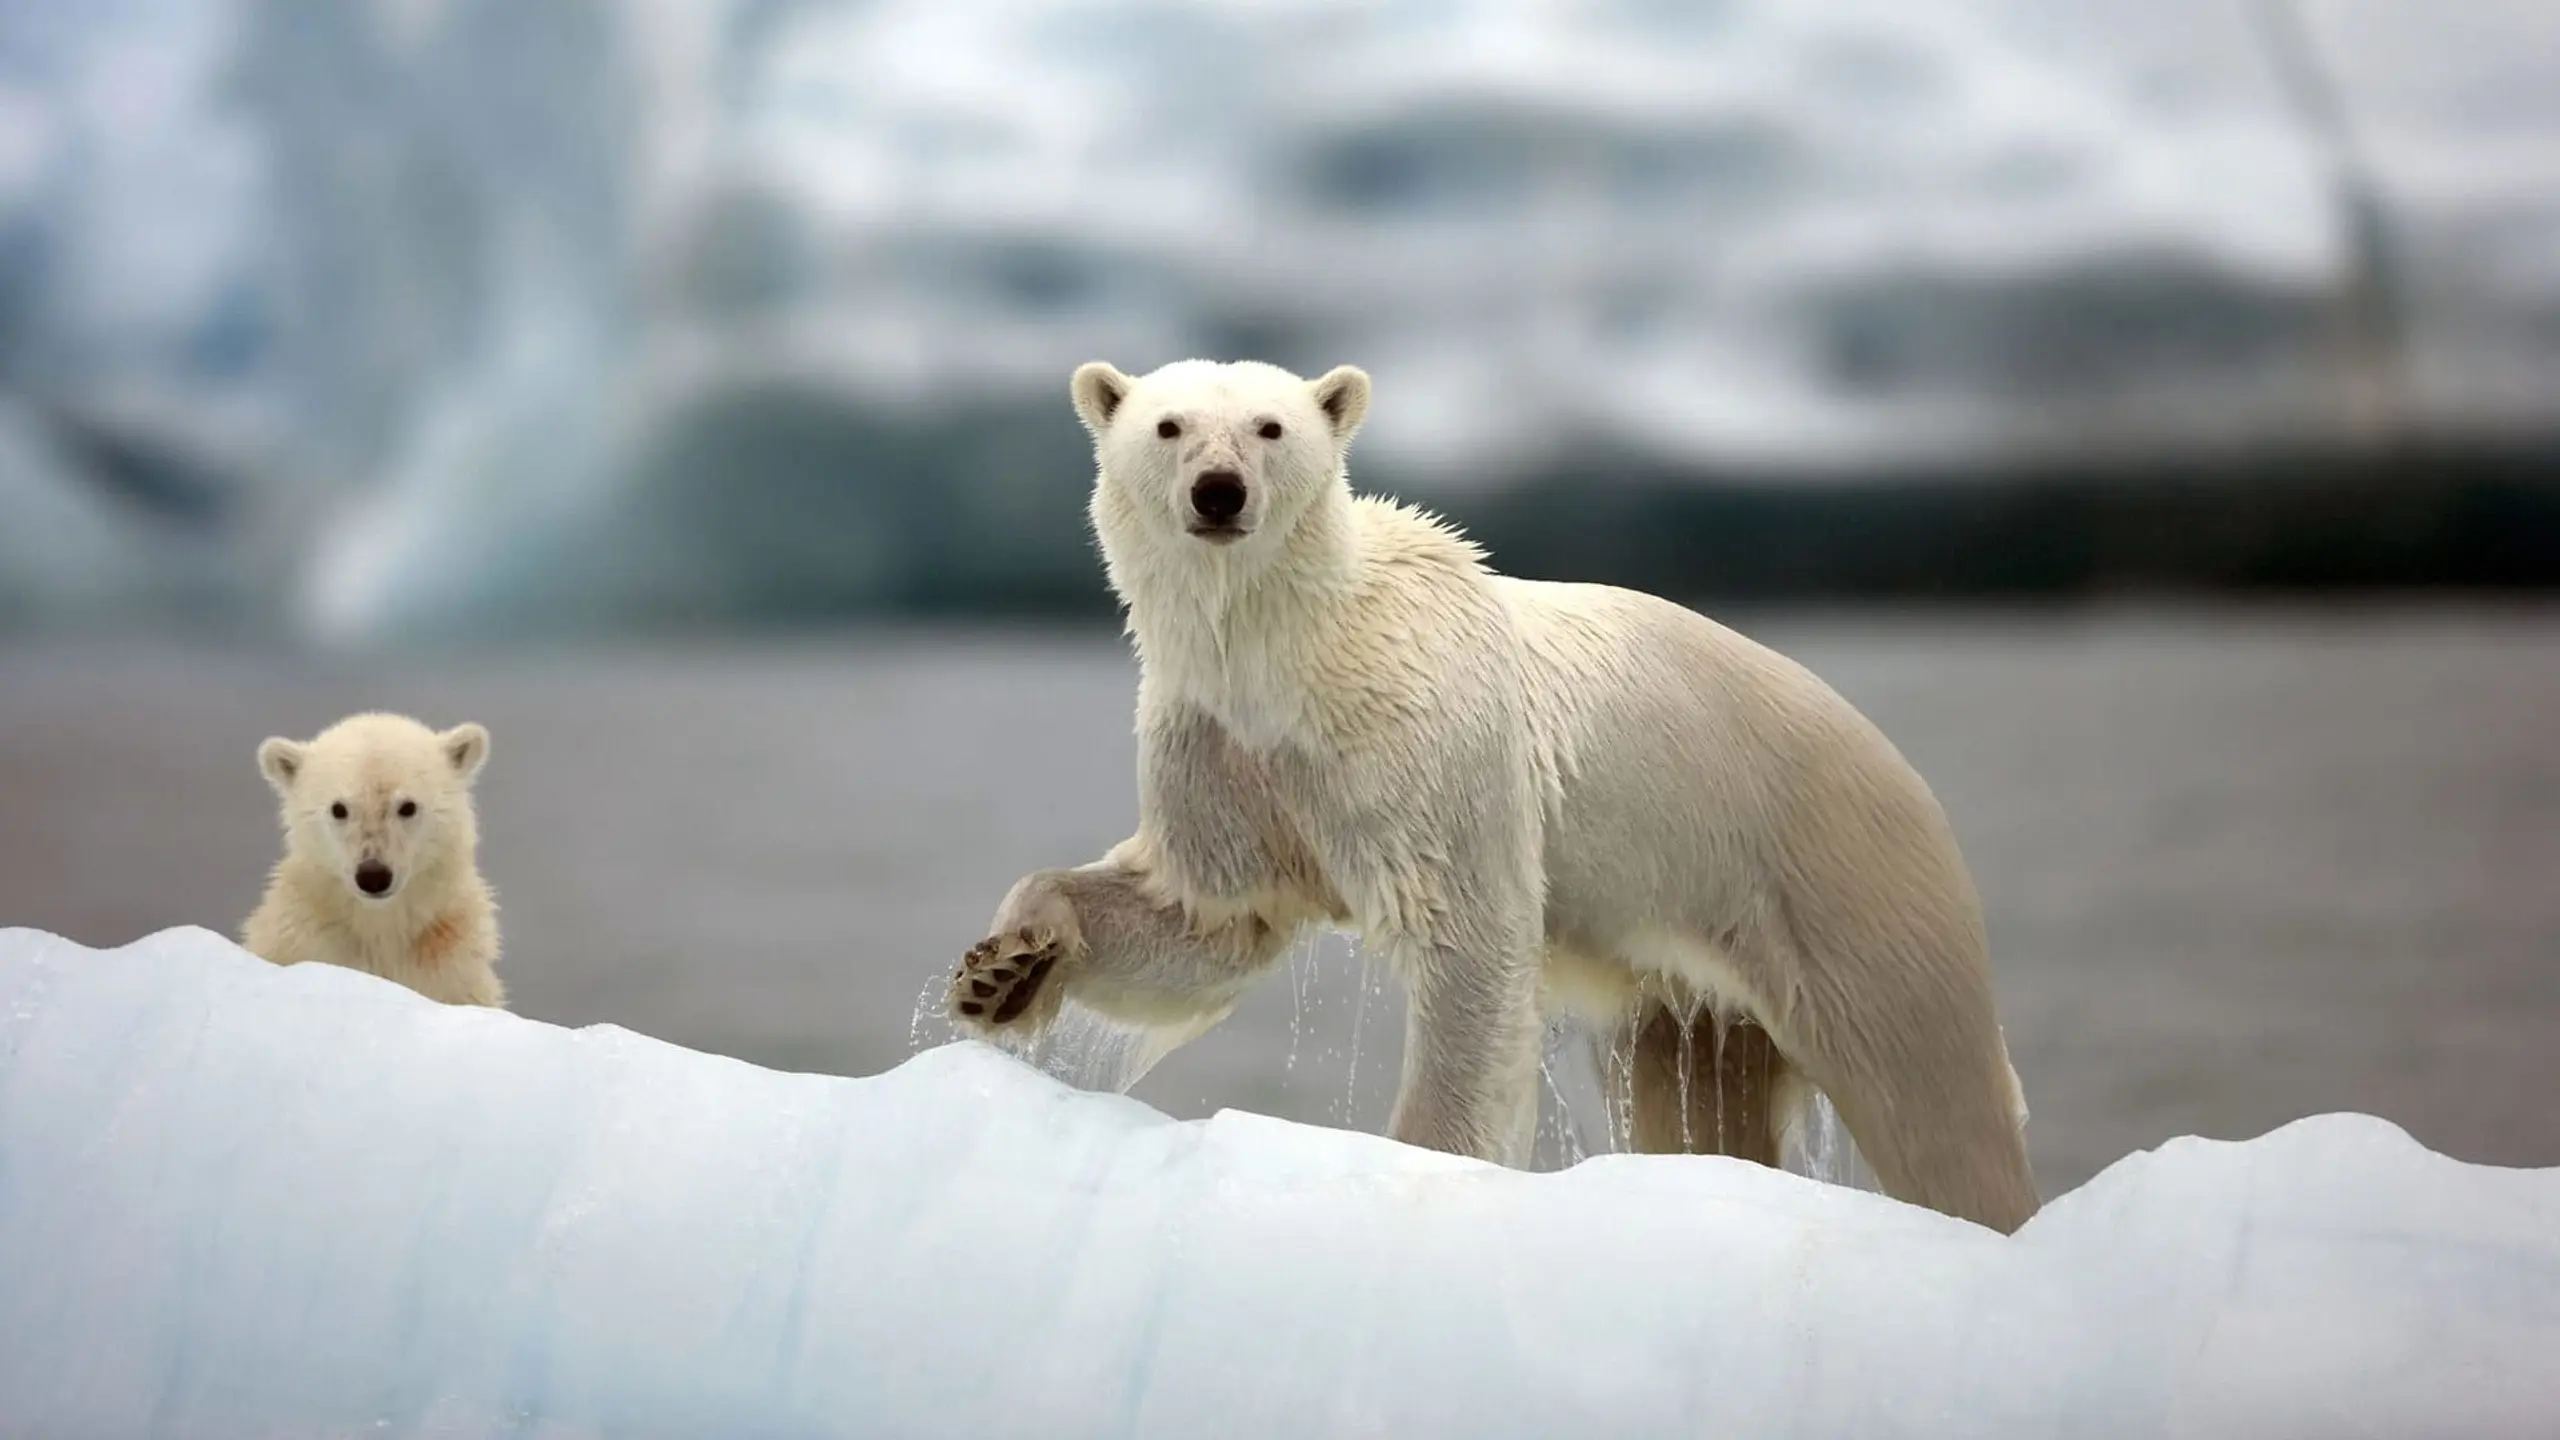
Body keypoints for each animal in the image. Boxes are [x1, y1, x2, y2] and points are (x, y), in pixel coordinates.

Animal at [240, 707, 504, 1004]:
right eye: (338, 808)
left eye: (408, 806)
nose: (373, 876)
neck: (380, 928)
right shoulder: (305, 942)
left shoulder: (450, 964)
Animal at [952, 361, 2048, 1235]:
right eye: (1169, 426)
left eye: (1270, 427)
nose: (1218, 493)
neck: (1290, 655)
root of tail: (1901, 771)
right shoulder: (1220, 751)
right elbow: (1208, 919)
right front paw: (1004, 970)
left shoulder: (1424, 744)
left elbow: (1466, 945)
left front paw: (1418, 1162)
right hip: (1691, 985)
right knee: (1700, 1097)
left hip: (1843, 885)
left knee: (1932, 1101)